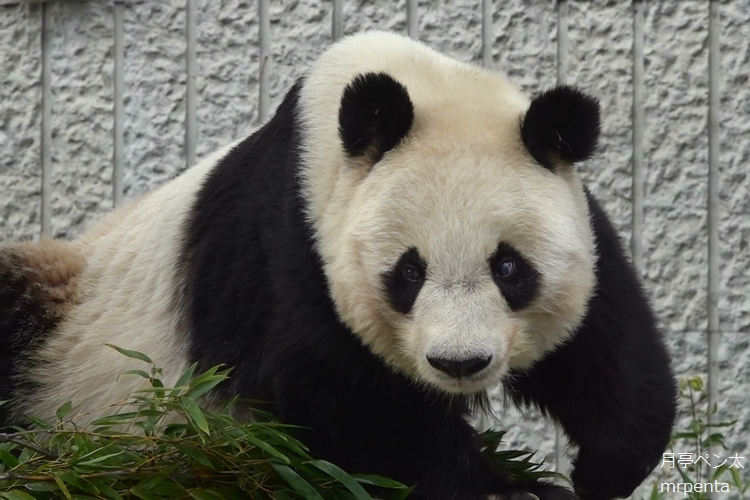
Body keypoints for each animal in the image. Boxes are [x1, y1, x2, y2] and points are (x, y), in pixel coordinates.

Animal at [0, 32, 680, 500]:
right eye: (408, 272)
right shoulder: (293, 246)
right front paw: (504, 488)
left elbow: (605, 347)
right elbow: (341, 392)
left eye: (509, 268)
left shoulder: (577, 219)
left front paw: (601, 470)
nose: (460, 364)